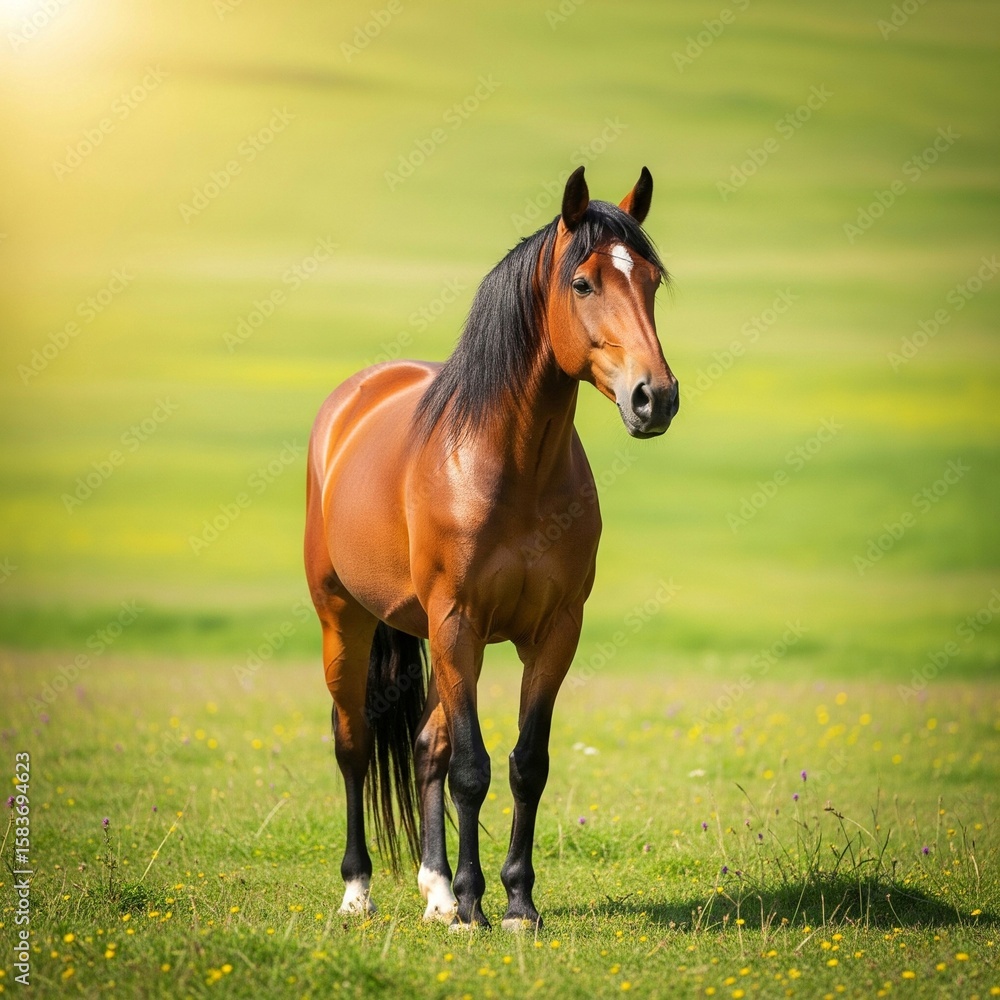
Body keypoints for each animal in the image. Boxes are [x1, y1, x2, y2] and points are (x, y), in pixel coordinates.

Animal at [304, 165, 679, 930]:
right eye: (583, 282)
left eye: (652, 279)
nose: (654, 398)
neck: (511, 466)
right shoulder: (459, 622)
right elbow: (472, 769)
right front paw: (479, 902)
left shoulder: (555, 631)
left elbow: (524, 763)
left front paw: (515, 900)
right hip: (345, 620)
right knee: (354, 744)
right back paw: (359, 890)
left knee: (425, 746)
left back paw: (436, 890)